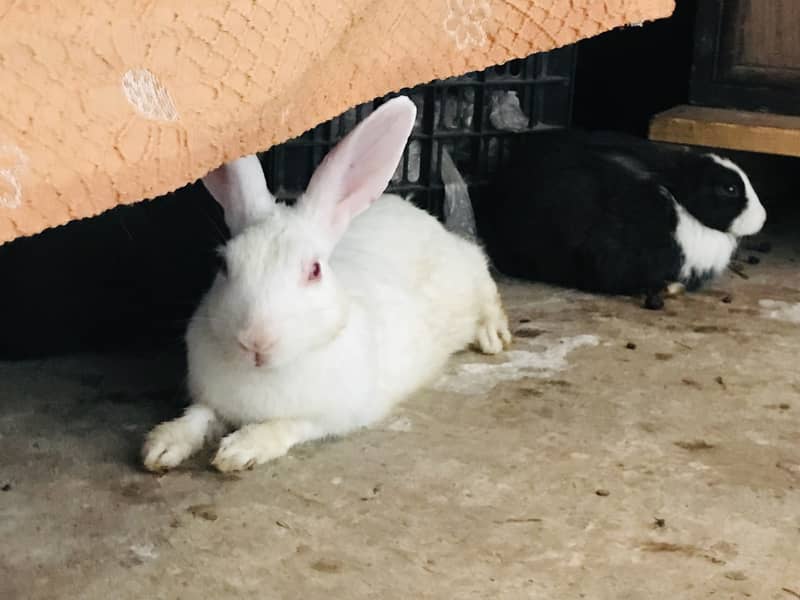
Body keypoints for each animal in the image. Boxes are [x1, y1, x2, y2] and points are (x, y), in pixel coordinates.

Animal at [142, 96, 512, 473]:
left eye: (315, 270)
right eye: (224, 264)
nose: (255, 341)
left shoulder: (332, 416)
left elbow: (286, 424)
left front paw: (241, 450)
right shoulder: (209, 399)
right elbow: (198, 416)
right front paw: (161, 446)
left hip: (468, 275)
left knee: (486, 285)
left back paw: (492, 336)